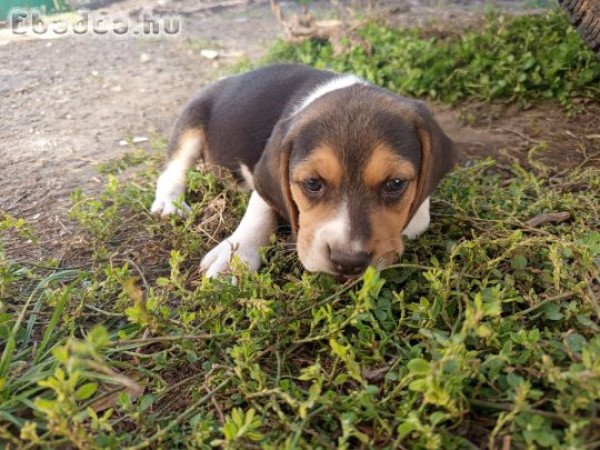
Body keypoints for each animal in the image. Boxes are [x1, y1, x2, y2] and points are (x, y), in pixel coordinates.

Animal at [152, 63, 458, 278]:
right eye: (312, 183)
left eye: (395, 184)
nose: (348, 262)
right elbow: (258, 212)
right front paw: (233, 258)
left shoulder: (418, 211)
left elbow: (413, 221)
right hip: (190, 124)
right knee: (172, 170)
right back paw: (170, 203)